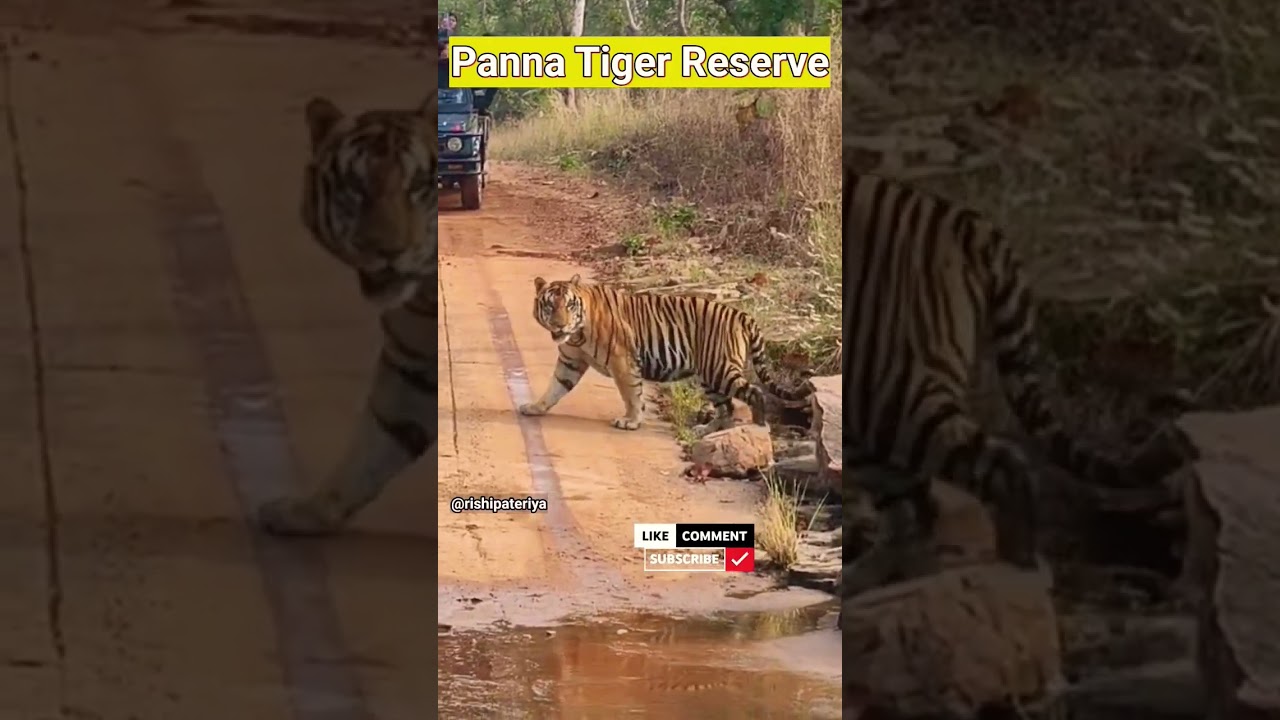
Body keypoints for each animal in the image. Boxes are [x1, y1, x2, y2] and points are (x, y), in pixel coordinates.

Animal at [254, 94, 438, 536]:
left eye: (419, 185)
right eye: (357, 187)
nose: (388, 250)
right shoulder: (411, 364)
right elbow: (376, 443)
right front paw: (307, 512)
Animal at [518, 275, 811, 436]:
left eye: (569, 305)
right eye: (549, 306)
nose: (560, 326)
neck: (577, 334)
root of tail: (741, 314)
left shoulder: (622, 360)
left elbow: (631, 394)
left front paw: (630, 421)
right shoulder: (571, 361)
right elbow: (555, 388)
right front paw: (535, 407)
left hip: (720, 369)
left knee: (754, 393)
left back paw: (759, 428)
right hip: (709, 376)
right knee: (726, 407)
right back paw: (706, 430)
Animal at [840, 169, 1188, 598]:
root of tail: (966, 221)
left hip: (887, 385)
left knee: (996, 468)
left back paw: (1012, 565)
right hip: (872, 404)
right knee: (912, 507)